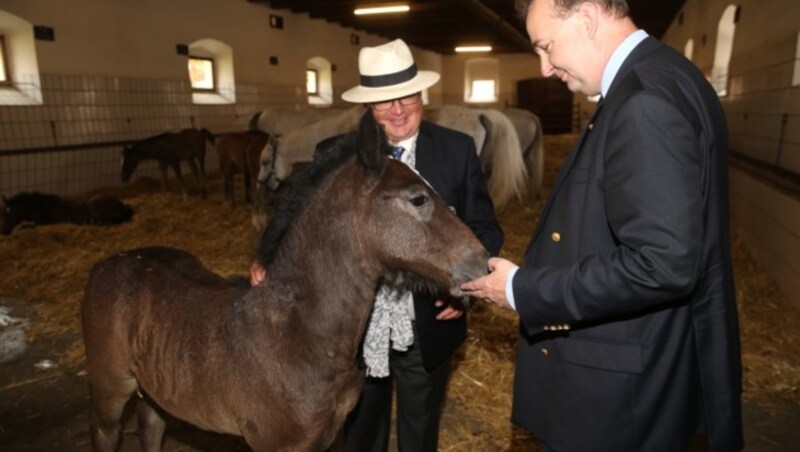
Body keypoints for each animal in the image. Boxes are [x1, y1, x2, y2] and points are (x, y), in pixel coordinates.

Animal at [1, 191, 133, 235]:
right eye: (3, 213)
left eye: (11, 213)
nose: (4, 232)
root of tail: (123, 206)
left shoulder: (42, 223)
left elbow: (27, 226)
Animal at [81, 109, 488, 452]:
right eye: (418, 198)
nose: (482, 262)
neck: (298, 334)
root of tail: (107, 264)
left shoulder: (327, 435)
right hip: (109, 390)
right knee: (105, 432)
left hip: (153, 389)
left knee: (151, 425)